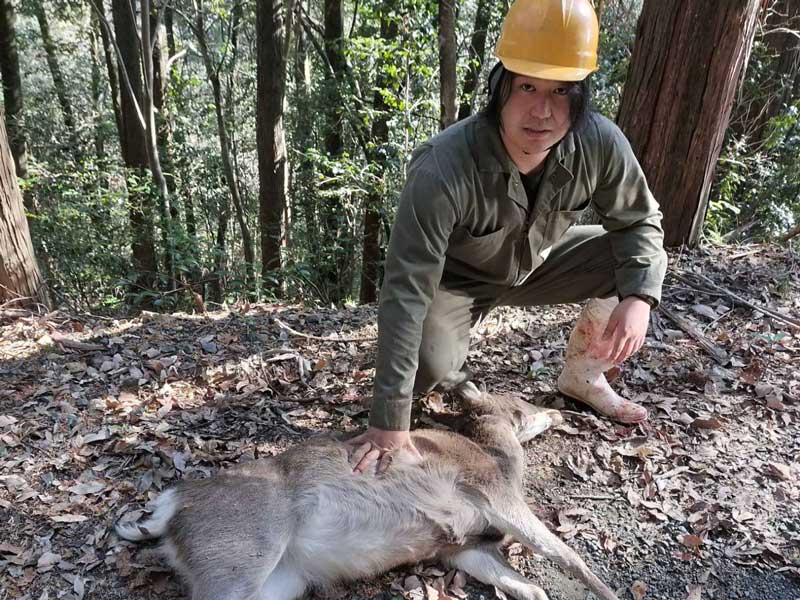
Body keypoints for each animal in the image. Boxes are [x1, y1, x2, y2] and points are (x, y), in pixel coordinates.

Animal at [115, 383, 620, 600]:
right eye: (520, 404)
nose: (559, 411)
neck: (496, 457)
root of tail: (171, 509)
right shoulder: (492, 492)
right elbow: (566, 556)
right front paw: (611, 594)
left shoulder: (458, 546)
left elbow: (519, 583)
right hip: (240, 555)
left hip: (278, 582)